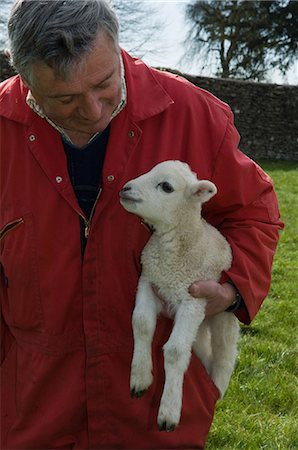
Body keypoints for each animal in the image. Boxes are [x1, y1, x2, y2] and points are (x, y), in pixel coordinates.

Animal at [118, 160, 240, 430]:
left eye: (166, 187)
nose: (125, 189)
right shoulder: (148, 281)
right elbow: (141, 323)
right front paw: (140, 377)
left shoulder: (192, 299)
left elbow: (174, 351)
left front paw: (169, 412)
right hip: (201, 325)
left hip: (222, 317)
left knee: (224, 355)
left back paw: (217, 390)